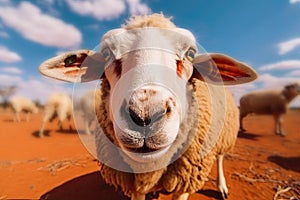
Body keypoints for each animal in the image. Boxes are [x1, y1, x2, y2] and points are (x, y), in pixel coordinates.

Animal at [38, 13, 256, 200]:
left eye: (191, 54)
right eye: (107, 53)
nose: (144, 116)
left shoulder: (186, 181)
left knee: (220, 157)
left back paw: (222, 187)